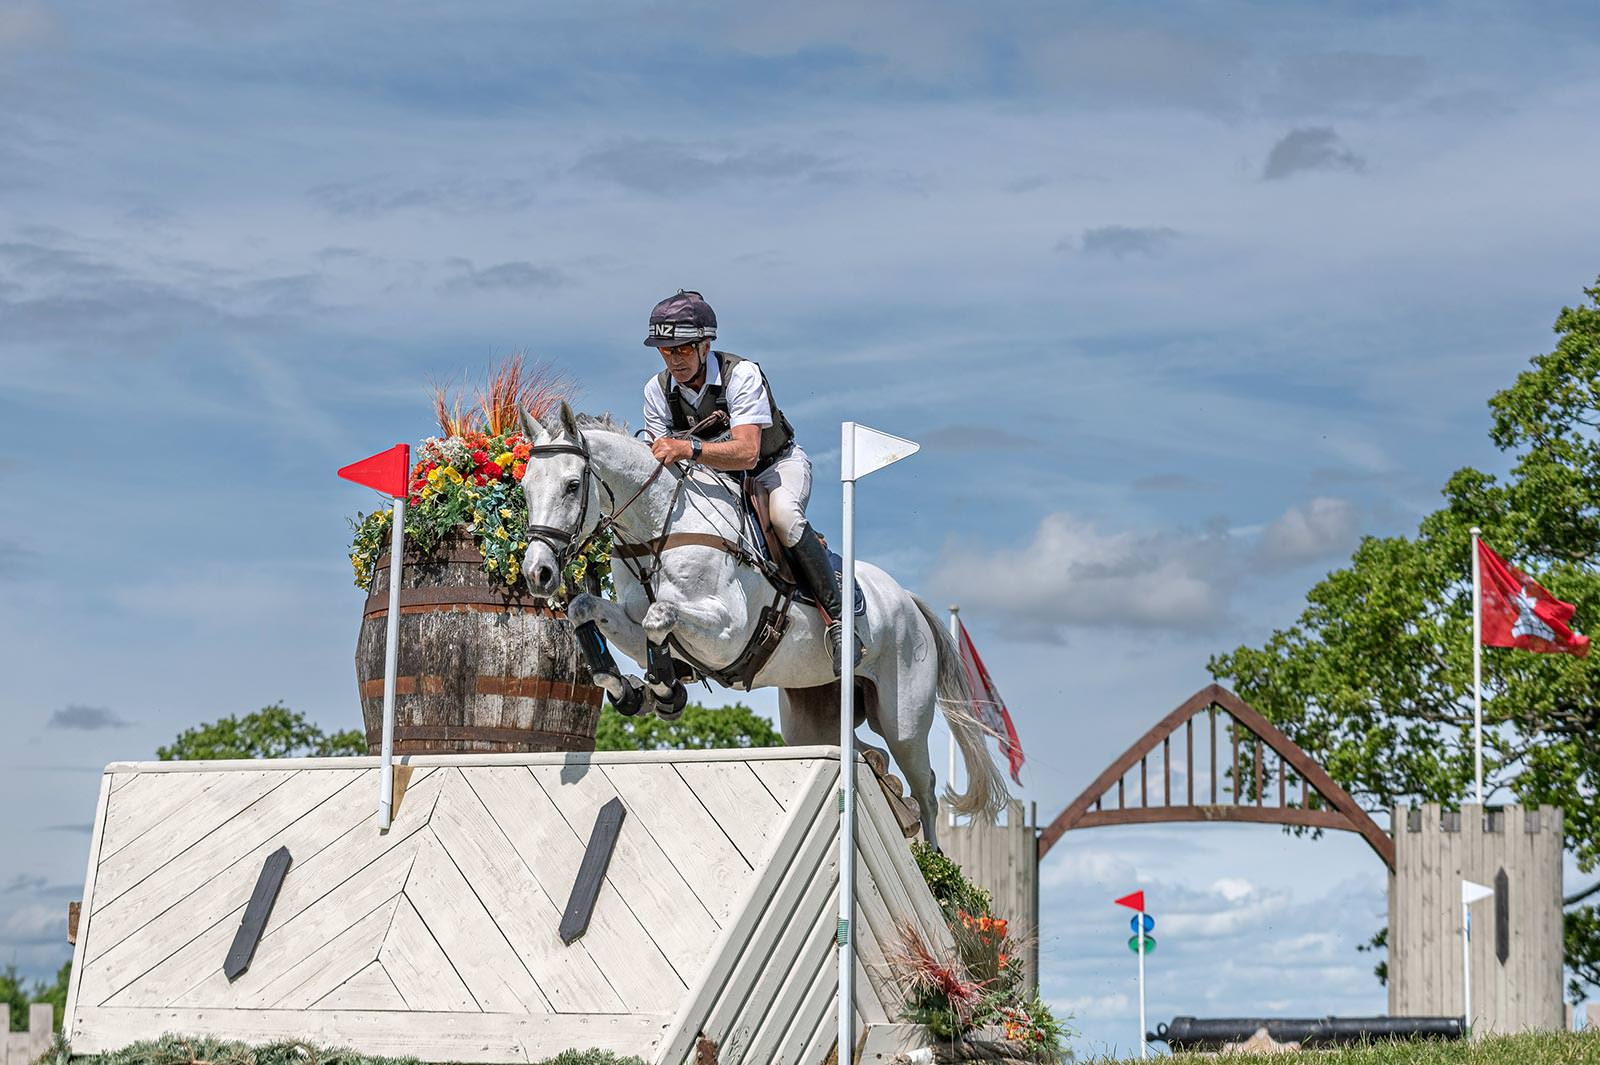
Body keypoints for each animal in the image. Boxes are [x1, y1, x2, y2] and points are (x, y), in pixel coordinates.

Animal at [518, 402, 1004, 844]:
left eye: (572, 485)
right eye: (524, 486)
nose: (538, 573)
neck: (659, 529)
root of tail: (907, 600)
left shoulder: (728, 632)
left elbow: (662, 616)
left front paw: (664, 691)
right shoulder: (634, 625)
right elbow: (588, 610)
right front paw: (635, 691)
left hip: (903, 717)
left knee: (926, 789)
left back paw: (937, 864)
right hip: (811, 722)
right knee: (862, 752)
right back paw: (887, 785)